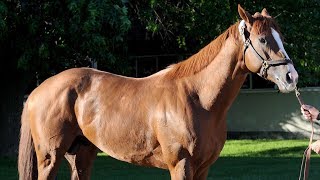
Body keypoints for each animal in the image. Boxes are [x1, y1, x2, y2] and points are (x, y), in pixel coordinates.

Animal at [18, 4, 298, 179]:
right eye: (263, 39)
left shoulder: (203, 168)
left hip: (81, 154)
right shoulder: (181, 165)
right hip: (49, 158)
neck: (198, 98)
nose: (291, 77)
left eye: (281, 37)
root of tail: (38, 91)